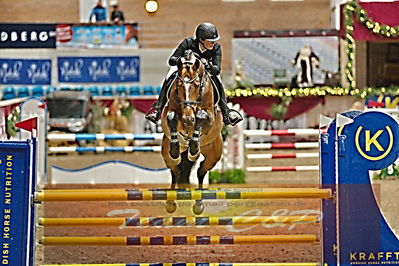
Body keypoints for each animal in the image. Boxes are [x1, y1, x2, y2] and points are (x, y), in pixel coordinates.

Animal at [159, 51, 223, 215]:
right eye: (179, 86)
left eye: (196, 85)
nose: (188, 119)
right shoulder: (170, 112)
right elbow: (172, 117)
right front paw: (175, 148)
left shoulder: (209, 119)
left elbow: (201, 116)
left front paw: (194, 147)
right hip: (167, 154)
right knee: (175, 170)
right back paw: (170, 203)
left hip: (213, 155)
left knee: (201, 171)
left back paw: (199, 204)